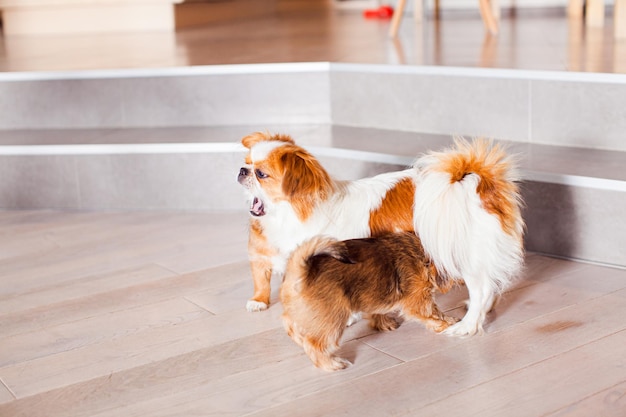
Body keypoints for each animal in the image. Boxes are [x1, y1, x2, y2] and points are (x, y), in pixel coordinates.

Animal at [236, 132, 524, 336]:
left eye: (261, 174)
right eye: (246, 163)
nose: (241, 170)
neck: (297, 213)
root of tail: (479, 183)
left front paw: (350, 318)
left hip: (461, 253)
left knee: (482, 289)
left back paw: (467, 326)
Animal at [280, 231, 456, 370]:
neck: (421, 254)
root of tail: (300, 271)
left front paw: (383, 323)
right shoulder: (419, 300)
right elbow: (432, 312)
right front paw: (446, 324)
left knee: (289, 323)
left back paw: (299, 338)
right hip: (332, 319)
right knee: (314, 344)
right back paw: (332, 364)